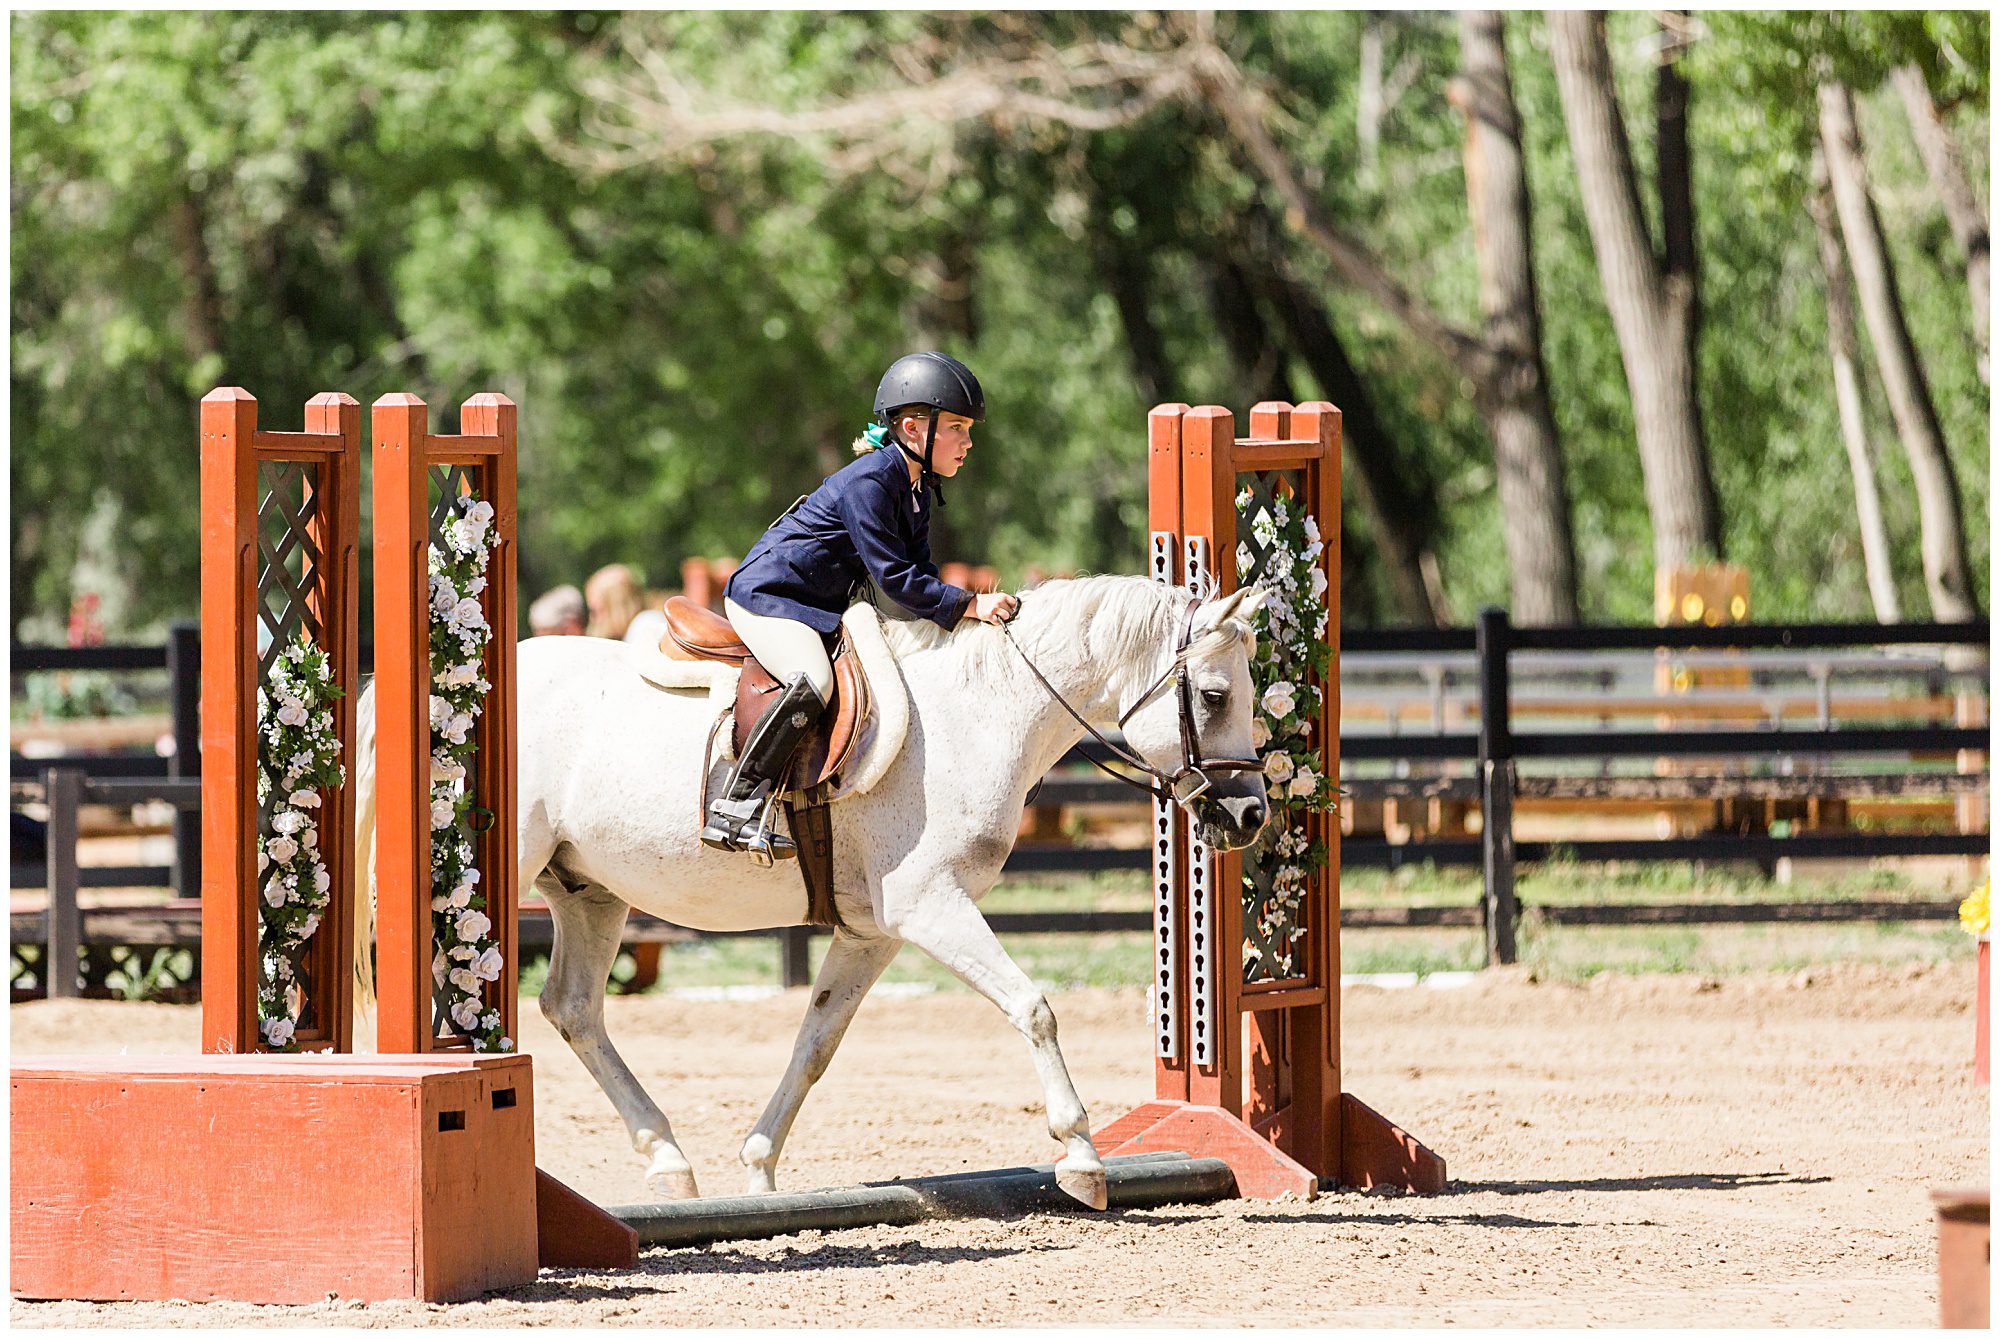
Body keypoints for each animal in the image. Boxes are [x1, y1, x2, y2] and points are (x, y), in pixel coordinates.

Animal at [360, 575, 1264, 1215]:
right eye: (1215, 697)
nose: (1252, 816)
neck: (980, 713)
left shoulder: (875, 931)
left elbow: (816, 1042)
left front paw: (760, 1167)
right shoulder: (930, 907)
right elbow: (1032, 1006)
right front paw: (1080, 1155)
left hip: (590, 890)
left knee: (575, 1008)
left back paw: (670, 1161)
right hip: (492, 876)